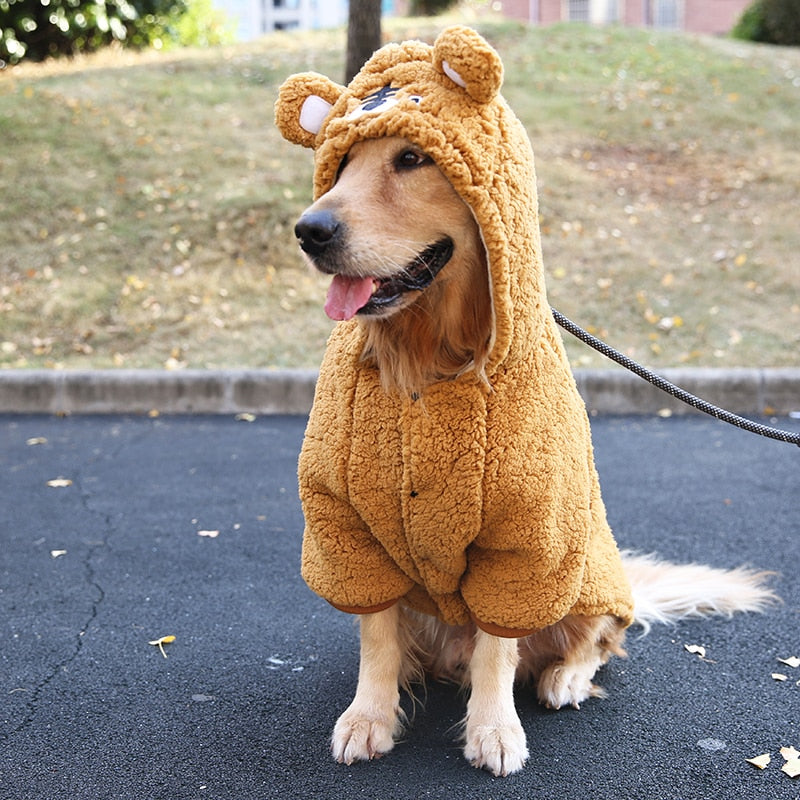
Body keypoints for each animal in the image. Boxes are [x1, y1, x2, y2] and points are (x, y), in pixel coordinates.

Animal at [294, 138, 776, 776]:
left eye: (413, 158)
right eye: (342, 163)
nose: (309, 231)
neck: (429, 364)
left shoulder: (526, 539)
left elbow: (498, 649)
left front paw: (494, 729)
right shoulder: (349, 529)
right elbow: (376, 638)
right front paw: (369, 716)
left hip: (587, 575)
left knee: (600, 642)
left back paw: (566, 677)